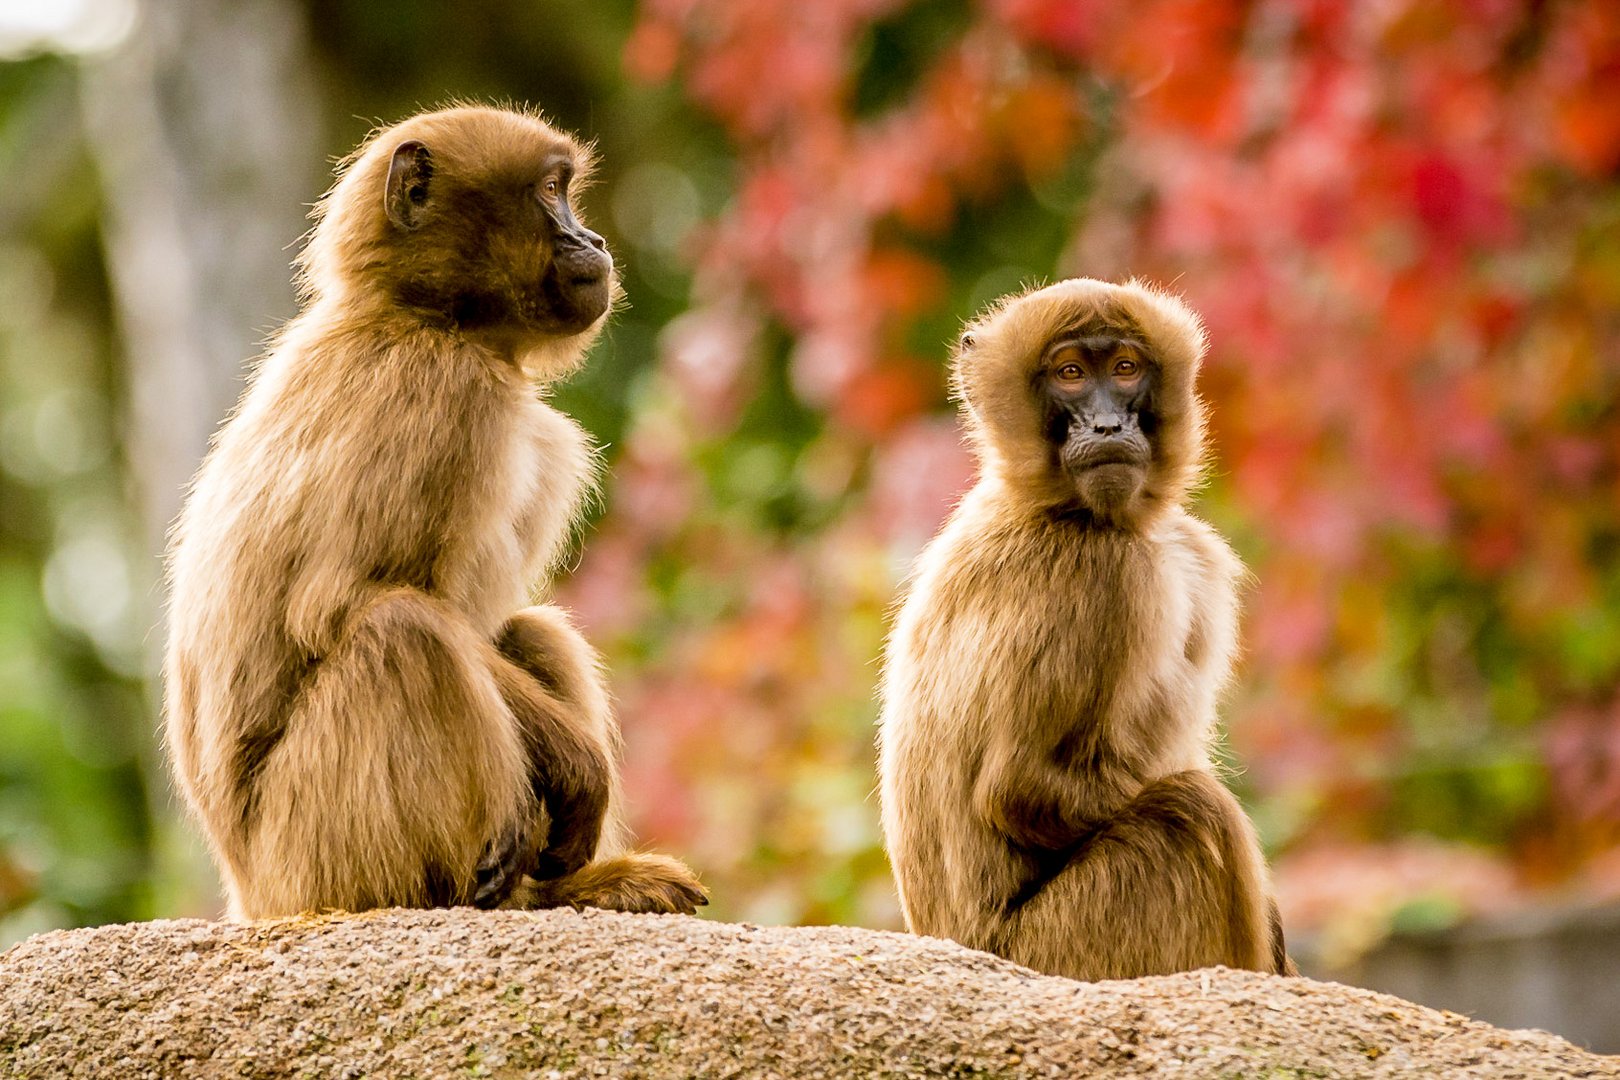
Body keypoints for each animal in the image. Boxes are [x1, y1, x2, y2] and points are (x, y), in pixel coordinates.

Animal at [164, 105, 709, 919]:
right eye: (552, 193)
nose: (594, 241)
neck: (426, 319)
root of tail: (250, 894)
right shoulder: (447, 397)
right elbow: (338, 604)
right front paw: (581, 770)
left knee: (525, 630)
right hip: (311, 857)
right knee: (402, 633)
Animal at [874, 276, 1289, 977]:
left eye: (1124, 369)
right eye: (1070, 374)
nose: (1106, 424)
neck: (1054, 506)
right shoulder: (1103, 578)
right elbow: (1017, 790)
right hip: (1058, 947)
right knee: (1189, 814)